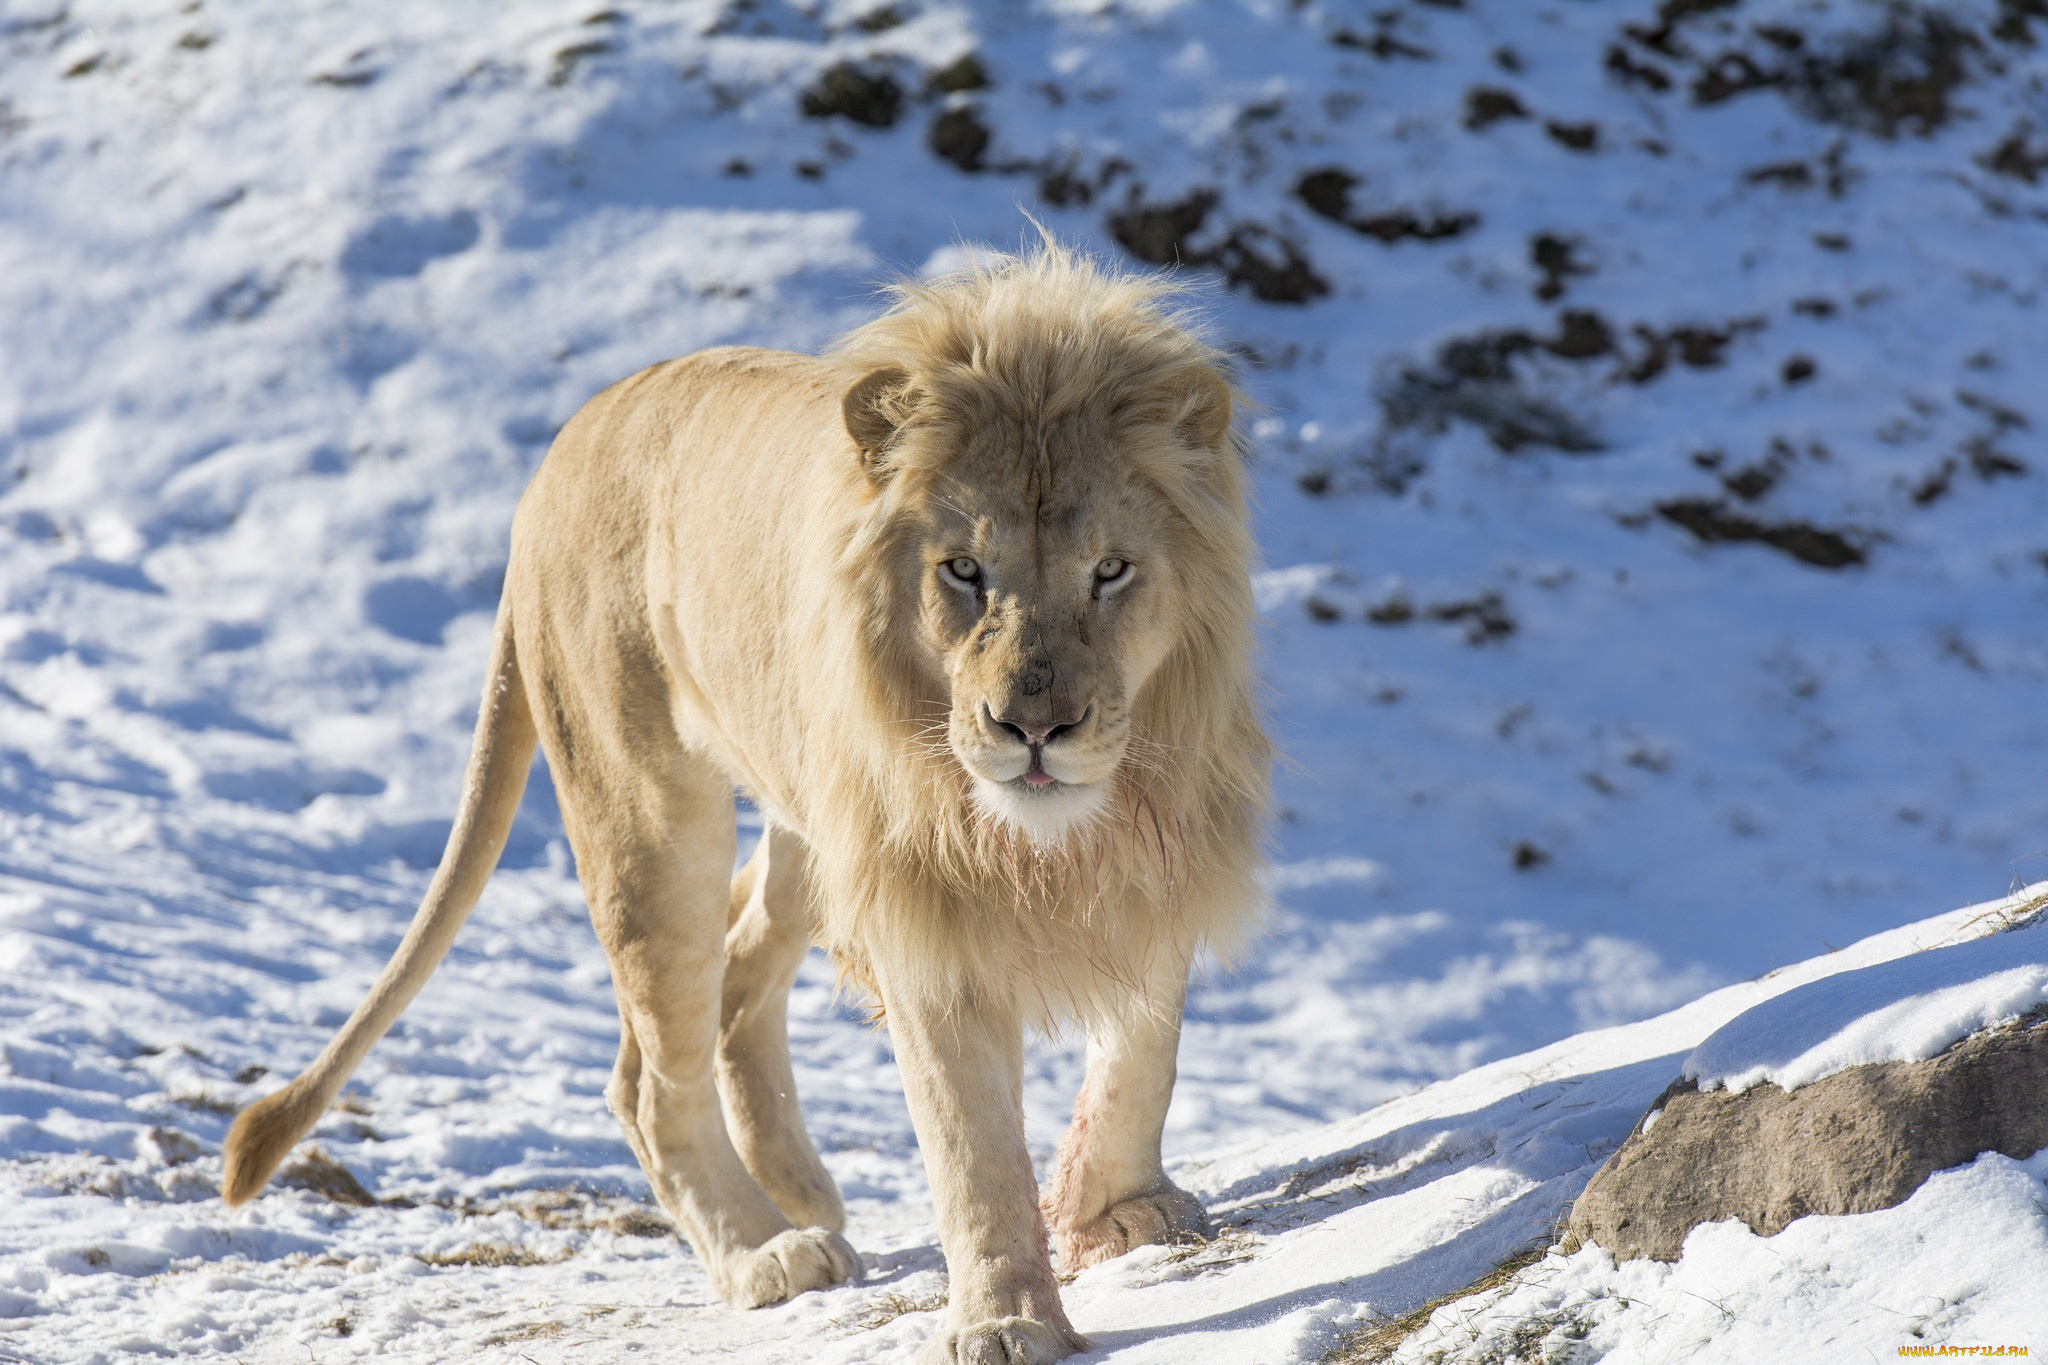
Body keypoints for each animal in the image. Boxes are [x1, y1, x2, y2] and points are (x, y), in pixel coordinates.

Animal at [232, 240, 1269, 1358]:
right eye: (964, 571)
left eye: (1110, 571)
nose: (1032, 728)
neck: (1061, 833)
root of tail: (554, 459)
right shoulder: (922, 918)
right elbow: (971, 1143)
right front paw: (1004, 1317)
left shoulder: (1165, 851)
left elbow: (1145, 1046)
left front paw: (1116, 1208)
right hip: (647, 815)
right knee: (654, 1072)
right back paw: (765, 1251)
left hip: (803, 828)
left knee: (729, 985)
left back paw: (799, 1189)